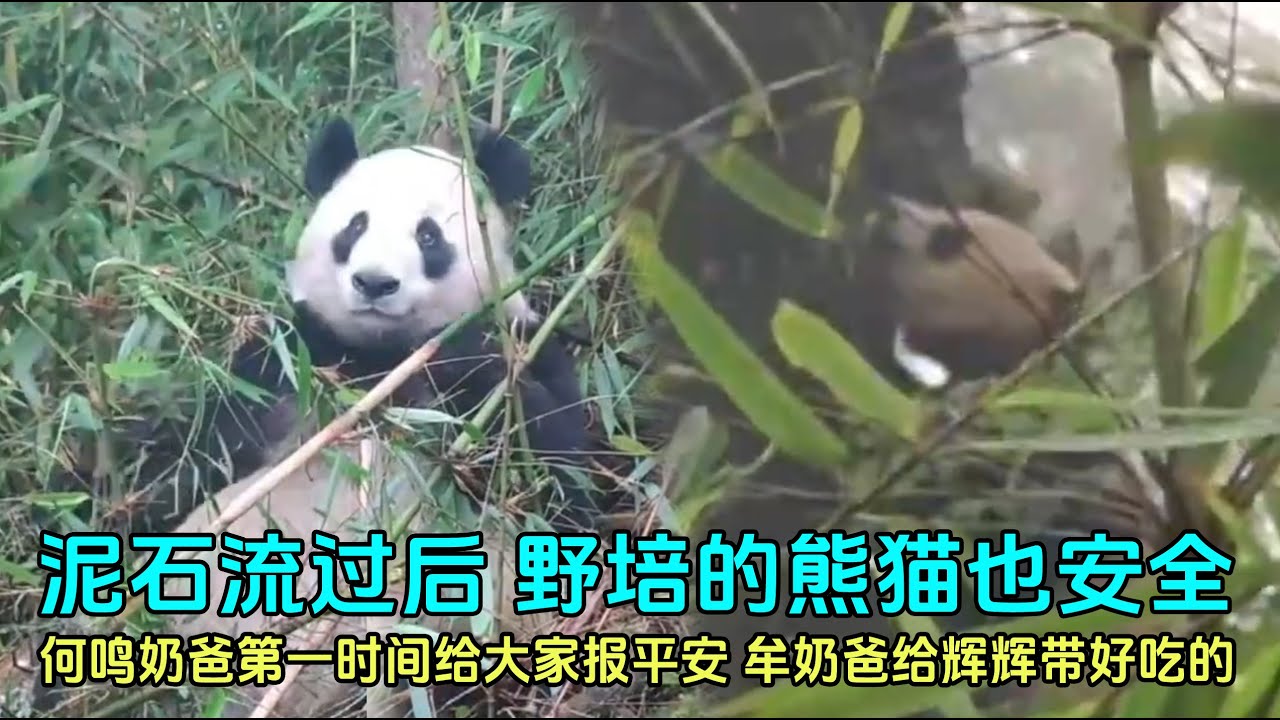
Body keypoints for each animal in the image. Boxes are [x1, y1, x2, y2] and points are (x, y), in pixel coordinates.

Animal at [33, 117, 605, 718]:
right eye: (355, 226)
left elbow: (565, 485)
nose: (375, 283)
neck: (379, 358)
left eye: (429, 237)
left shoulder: (526, 348)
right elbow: (185, 457)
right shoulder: (287, 364)